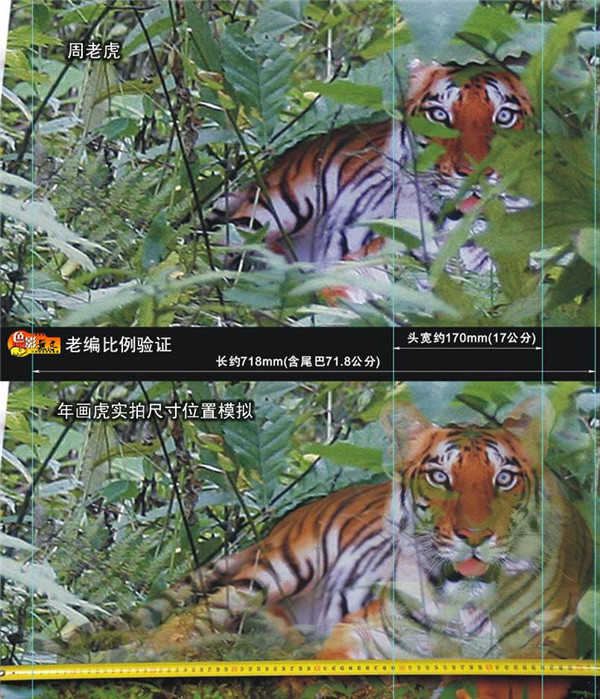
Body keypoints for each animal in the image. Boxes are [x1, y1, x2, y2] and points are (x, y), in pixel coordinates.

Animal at [68, 396, 592, 698]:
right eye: (440, 476)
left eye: (504, 478)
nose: (475, 536)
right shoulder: (367, 629)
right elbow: (328, 662)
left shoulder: (552, 651)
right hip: (279, 566)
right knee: (189, 620)